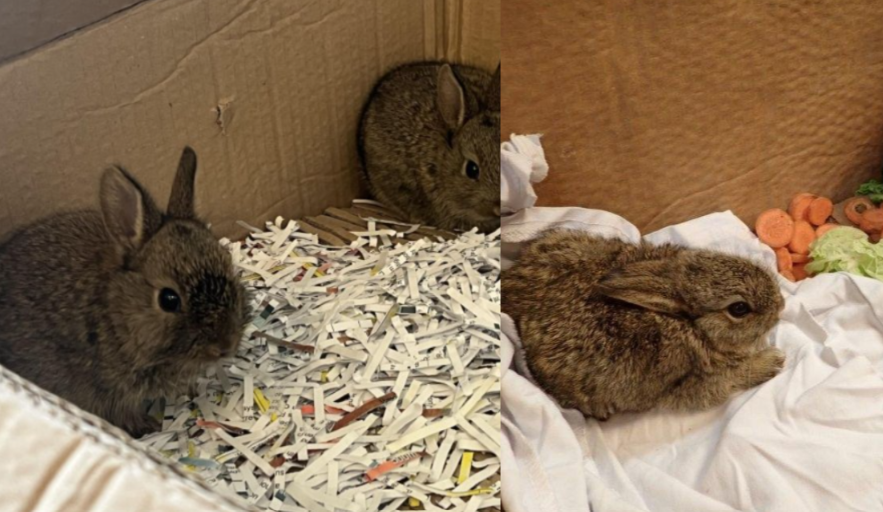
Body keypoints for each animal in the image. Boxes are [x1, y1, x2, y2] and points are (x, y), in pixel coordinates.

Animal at [0, 147, 247, 437]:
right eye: (168, 299)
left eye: (228, 262)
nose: (226, 346)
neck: (118, 313)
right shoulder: (108, 389)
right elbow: (123, 412)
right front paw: (148, 425)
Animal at [502, 229, 785, 420]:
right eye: (739, 309)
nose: (781, 305)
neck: (690, 325)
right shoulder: (691, 383)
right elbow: (731, 378)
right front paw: (773, 361)